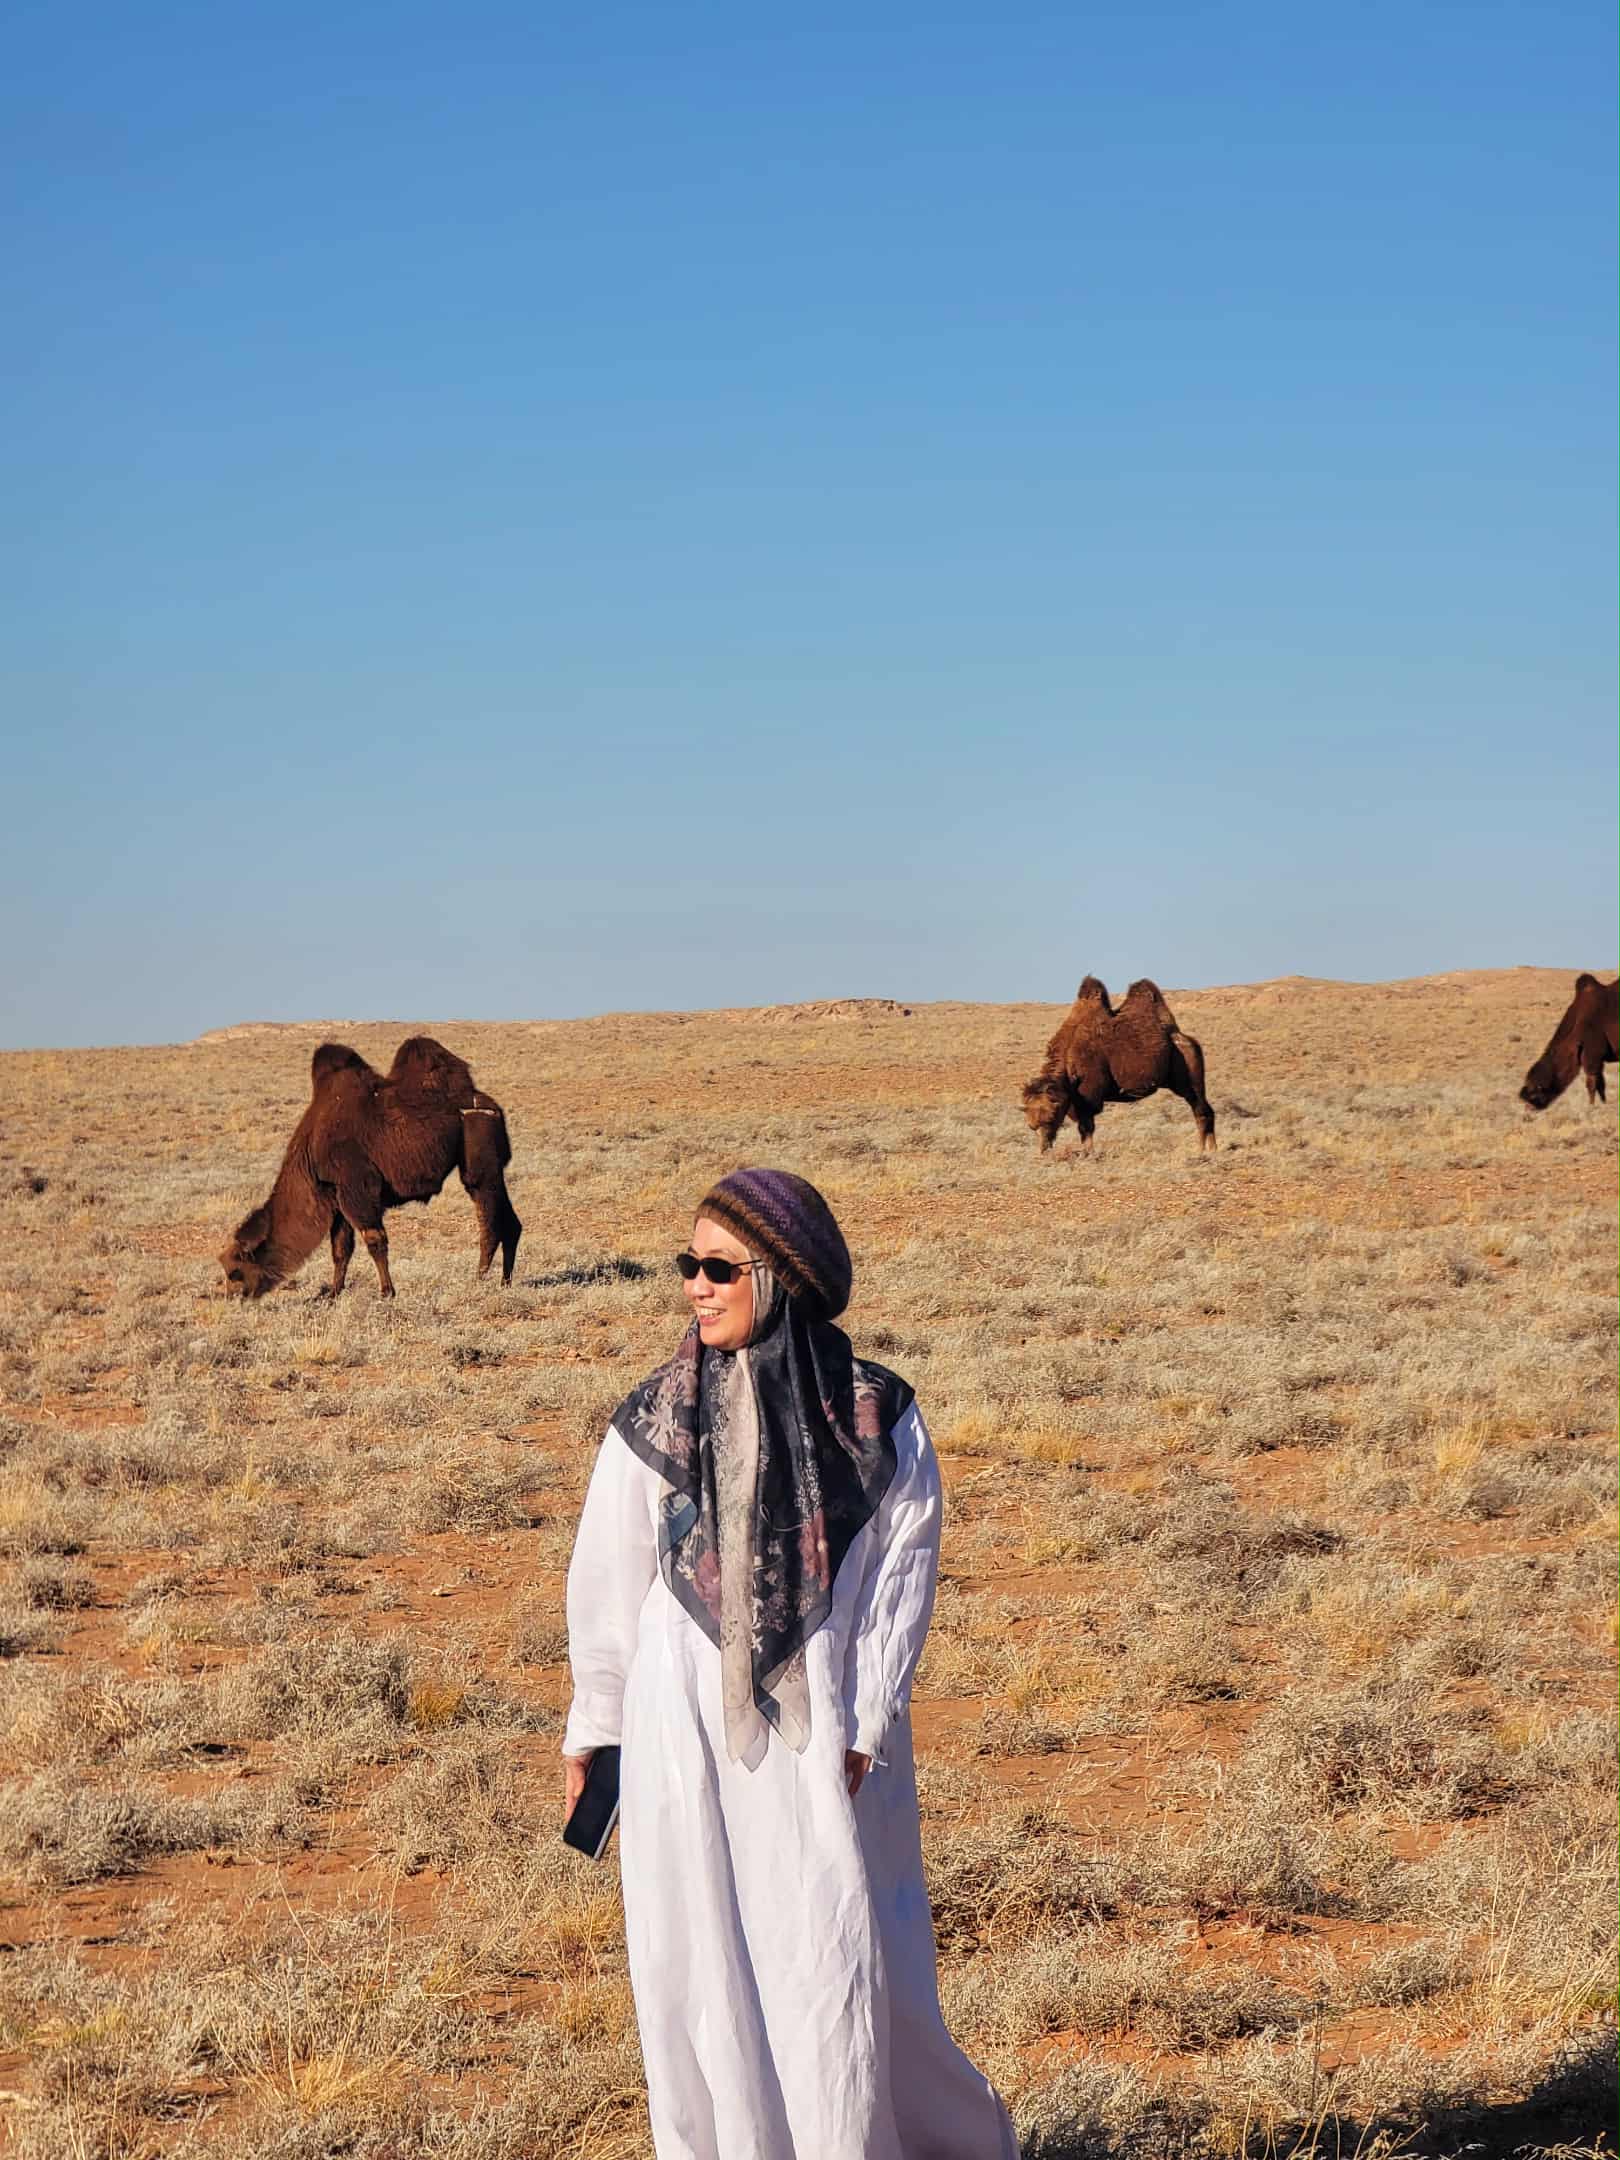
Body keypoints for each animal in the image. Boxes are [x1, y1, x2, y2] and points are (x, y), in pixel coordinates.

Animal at [219, 1036, 522, 1299]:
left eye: (235, 1271)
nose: (234, 1297)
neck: (309, 1152)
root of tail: (493, 1107)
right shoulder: (337, 1195)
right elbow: (341, 1249)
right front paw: (333, 1293)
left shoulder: (357, 1187)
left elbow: (374, 1240)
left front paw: (387, 1292)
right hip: (493, 1168)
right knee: (511, 1222)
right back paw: (505, 1282)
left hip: (478, 1157)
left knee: (488, 1217)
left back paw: (479, 1277)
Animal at [1022, 977, 1215, 1155]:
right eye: (1031, 1125)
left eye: (1051, 1117)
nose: (1044, 1149)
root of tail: (1185, 1038)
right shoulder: (1076, 1100)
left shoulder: (1089, 1097)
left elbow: (1086, 1128)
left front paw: (1089, 1154)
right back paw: (1212, 1149)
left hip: (1188, 1074)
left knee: (1201, 1110)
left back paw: (1203, 1150)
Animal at [1519, 974, 1619, 1111]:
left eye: (1533, 1093)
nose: (1527, 1107)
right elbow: (1600, 1084)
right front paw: (1602, 1104)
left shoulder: (1592, 1053)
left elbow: (1592, 1083)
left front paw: (1592, 1106)